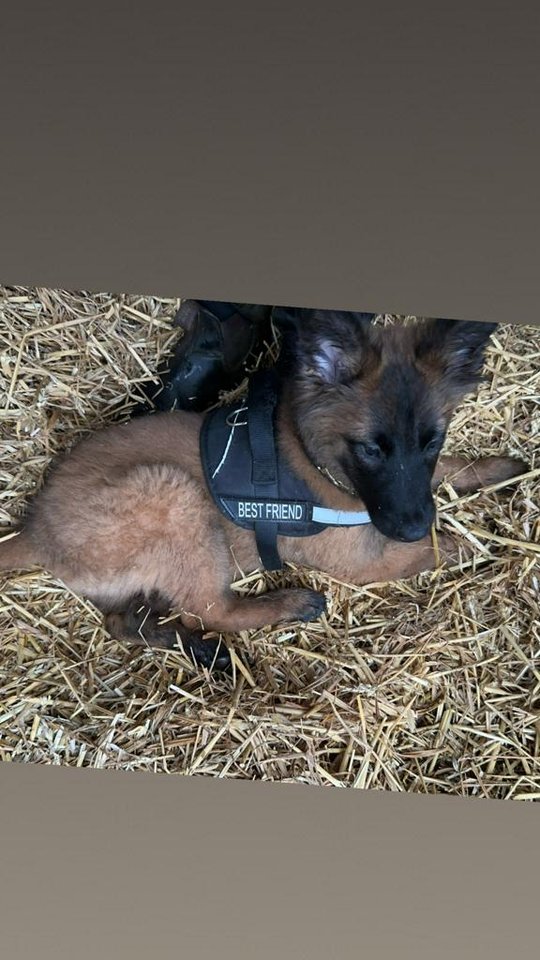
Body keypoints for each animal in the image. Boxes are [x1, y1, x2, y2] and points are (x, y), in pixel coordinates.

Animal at [0, 316, 524, 668]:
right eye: (370, 449)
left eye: (432, 440)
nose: (415, 525)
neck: (313, 457)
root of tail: (34, 531)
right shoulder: (366, 562)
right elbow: (444, 547)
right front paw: (485, 548)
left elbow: (451, 470)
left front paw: (499, 469)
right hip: (172, 495)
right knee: (213, 610)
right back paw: (289, 605)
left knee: (126, 622)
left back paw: (193, 648)